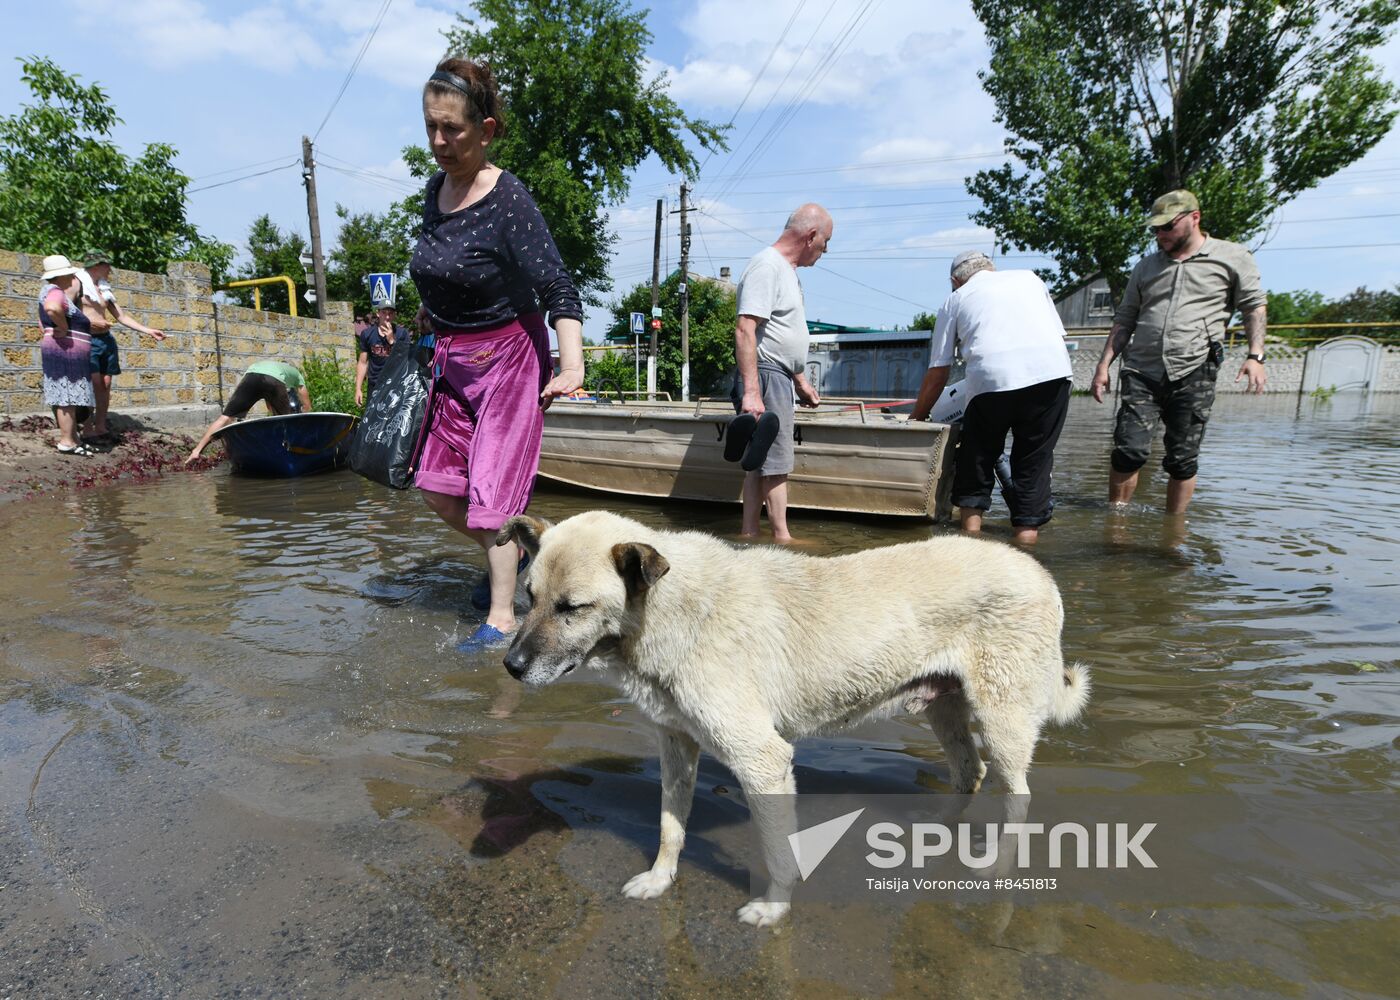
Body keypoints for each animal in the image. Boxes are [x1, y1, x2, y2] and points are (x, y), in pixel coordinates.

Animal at [498, 509, 1086, 924]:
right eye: (529, 597)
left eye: (573, 608)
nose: (511, 666)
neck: (669, 610)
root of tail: (1040, 573)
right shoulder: (676, 746)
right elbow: (670, 826)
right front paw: (660, 880)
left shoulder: (763, 760)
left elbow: (778, 851)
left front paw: (773, 908)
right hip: (946, 710)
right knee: (970, 771)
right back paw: (938, 833)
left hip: (1001, 720)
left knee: (1016, 794)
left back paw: (995, 865)